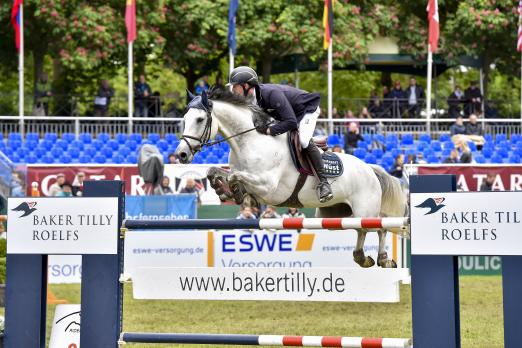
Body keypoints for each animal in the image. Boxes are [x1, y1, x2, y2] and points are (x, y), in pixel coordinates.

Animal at [175, 89, 406, 266]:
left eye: (200, 119)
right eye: (184, 119)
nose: (181, 154)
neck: (250, 141)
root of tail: (371, 169)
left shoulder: (268, 187)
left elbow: (234, 176)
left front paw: (232, 191)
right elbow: (215, 171)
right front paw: (224, 190)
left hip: (365, 210)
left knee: (379, 228)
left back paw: (381, 259)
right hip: (334, 216)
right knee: (363, 230)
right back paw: (365, 258)